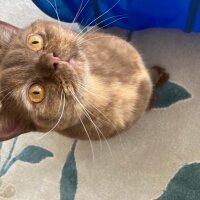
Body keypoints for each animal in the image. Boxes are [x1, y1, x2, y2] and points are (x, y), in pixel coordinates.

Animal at [0, 20, 169, 141]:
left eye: (35, 42)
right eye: (36, 93)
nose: (52, 60)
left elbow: (151, 74)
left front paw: (161, 74)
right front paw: (153, 100)